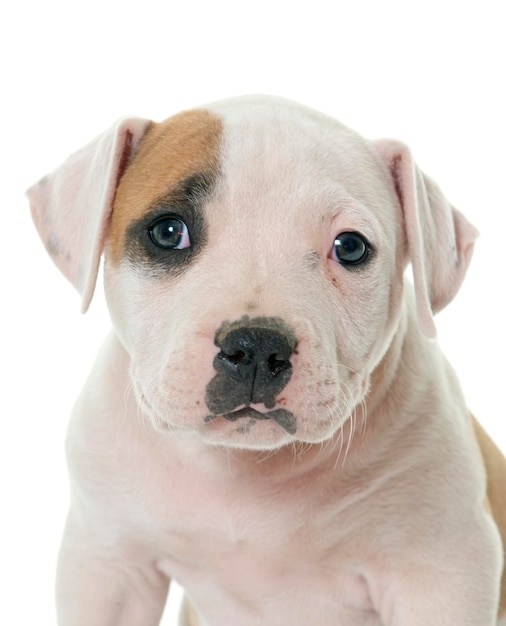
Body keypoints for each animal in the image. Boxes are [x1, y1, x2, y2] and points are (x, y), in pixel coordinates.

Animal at [27, 96, 506, 624]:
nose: (255, 347)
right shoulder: (108, 565)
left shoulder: (441, 572)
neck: (247, 471)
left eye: (350, 247)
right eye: (168, 232)